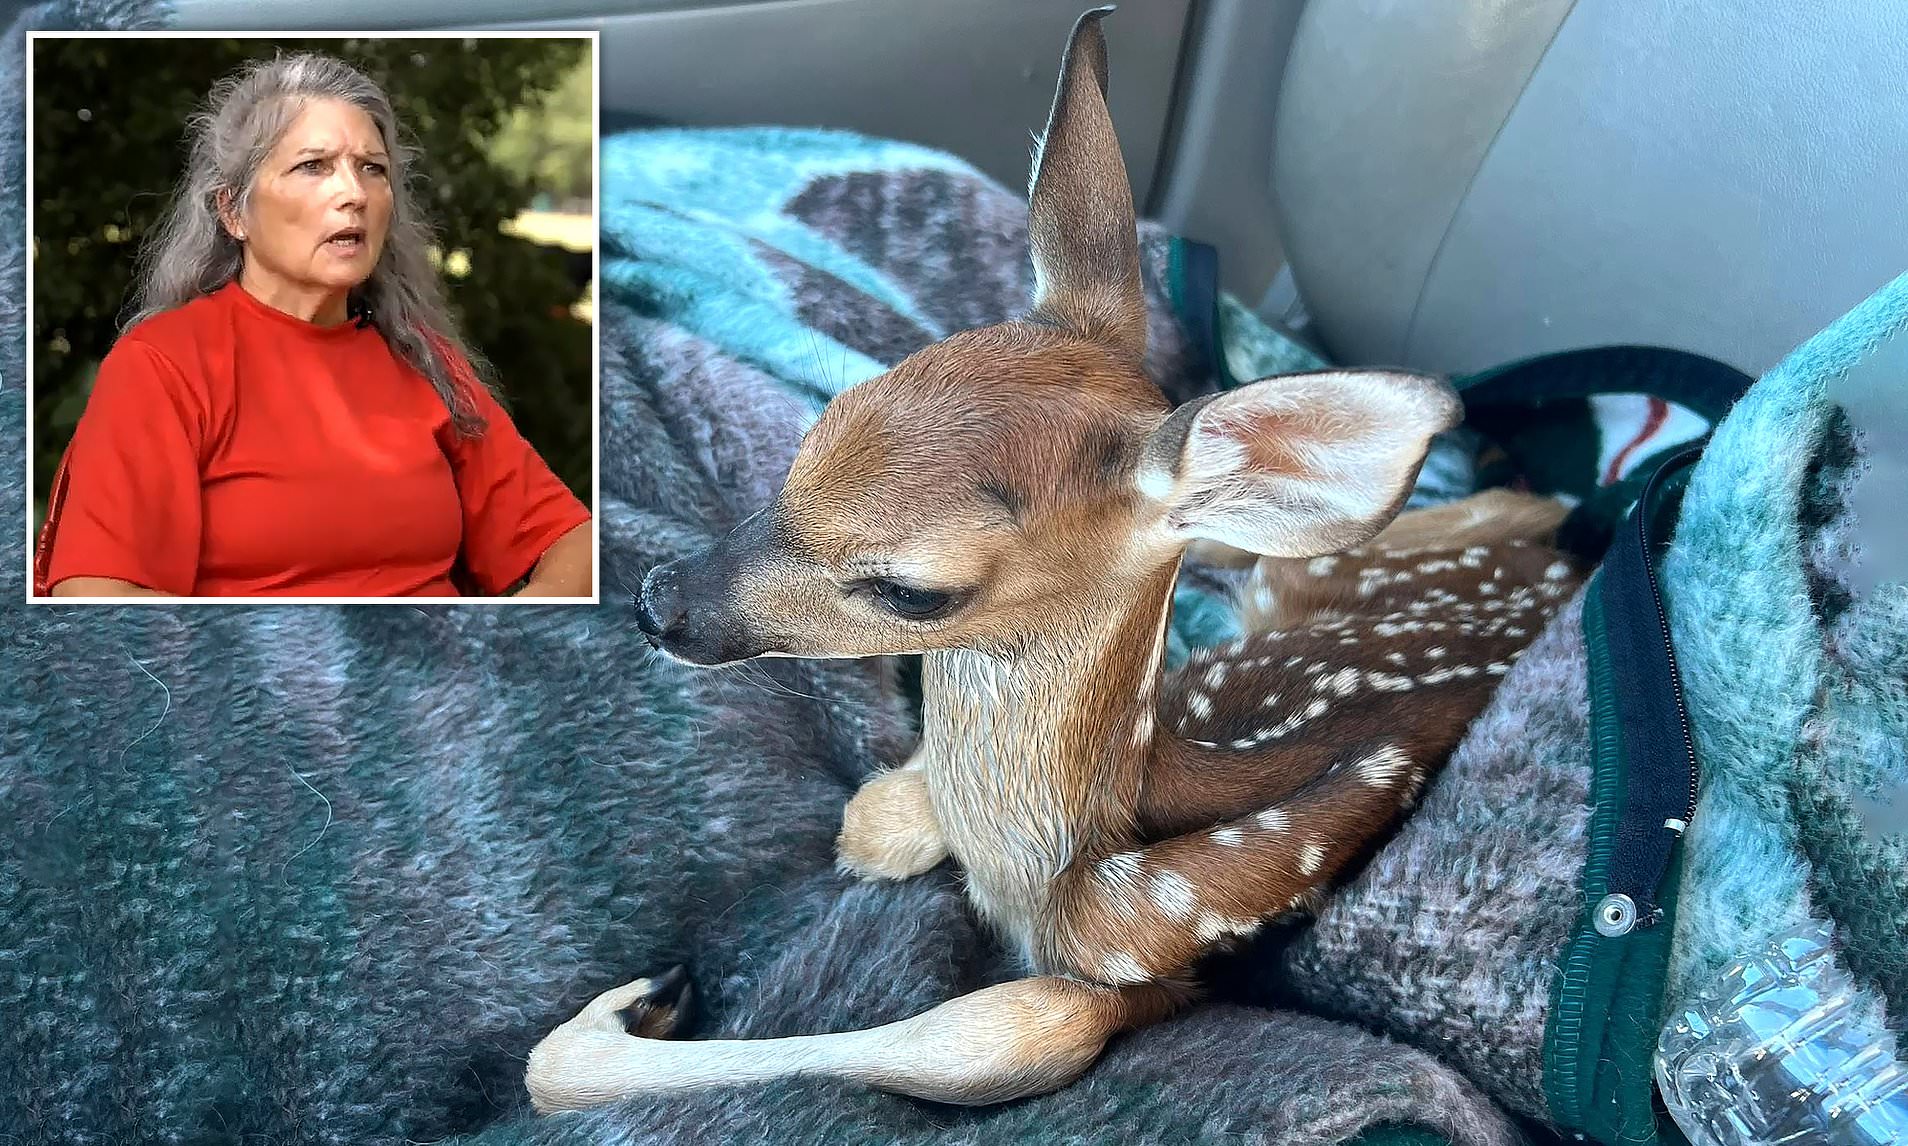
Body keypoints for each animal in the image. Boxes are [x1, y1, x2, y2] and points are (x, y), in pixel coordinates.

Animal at [525, 7, 1580, 1113]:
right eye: (818, 433)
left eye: (911, 589)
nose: (658, 599)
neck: (1052, 863)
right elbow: (873, 818)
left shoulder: (1143, 950)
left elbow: (997, 1033)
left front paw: (619, 1018)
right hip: (1312, 567)